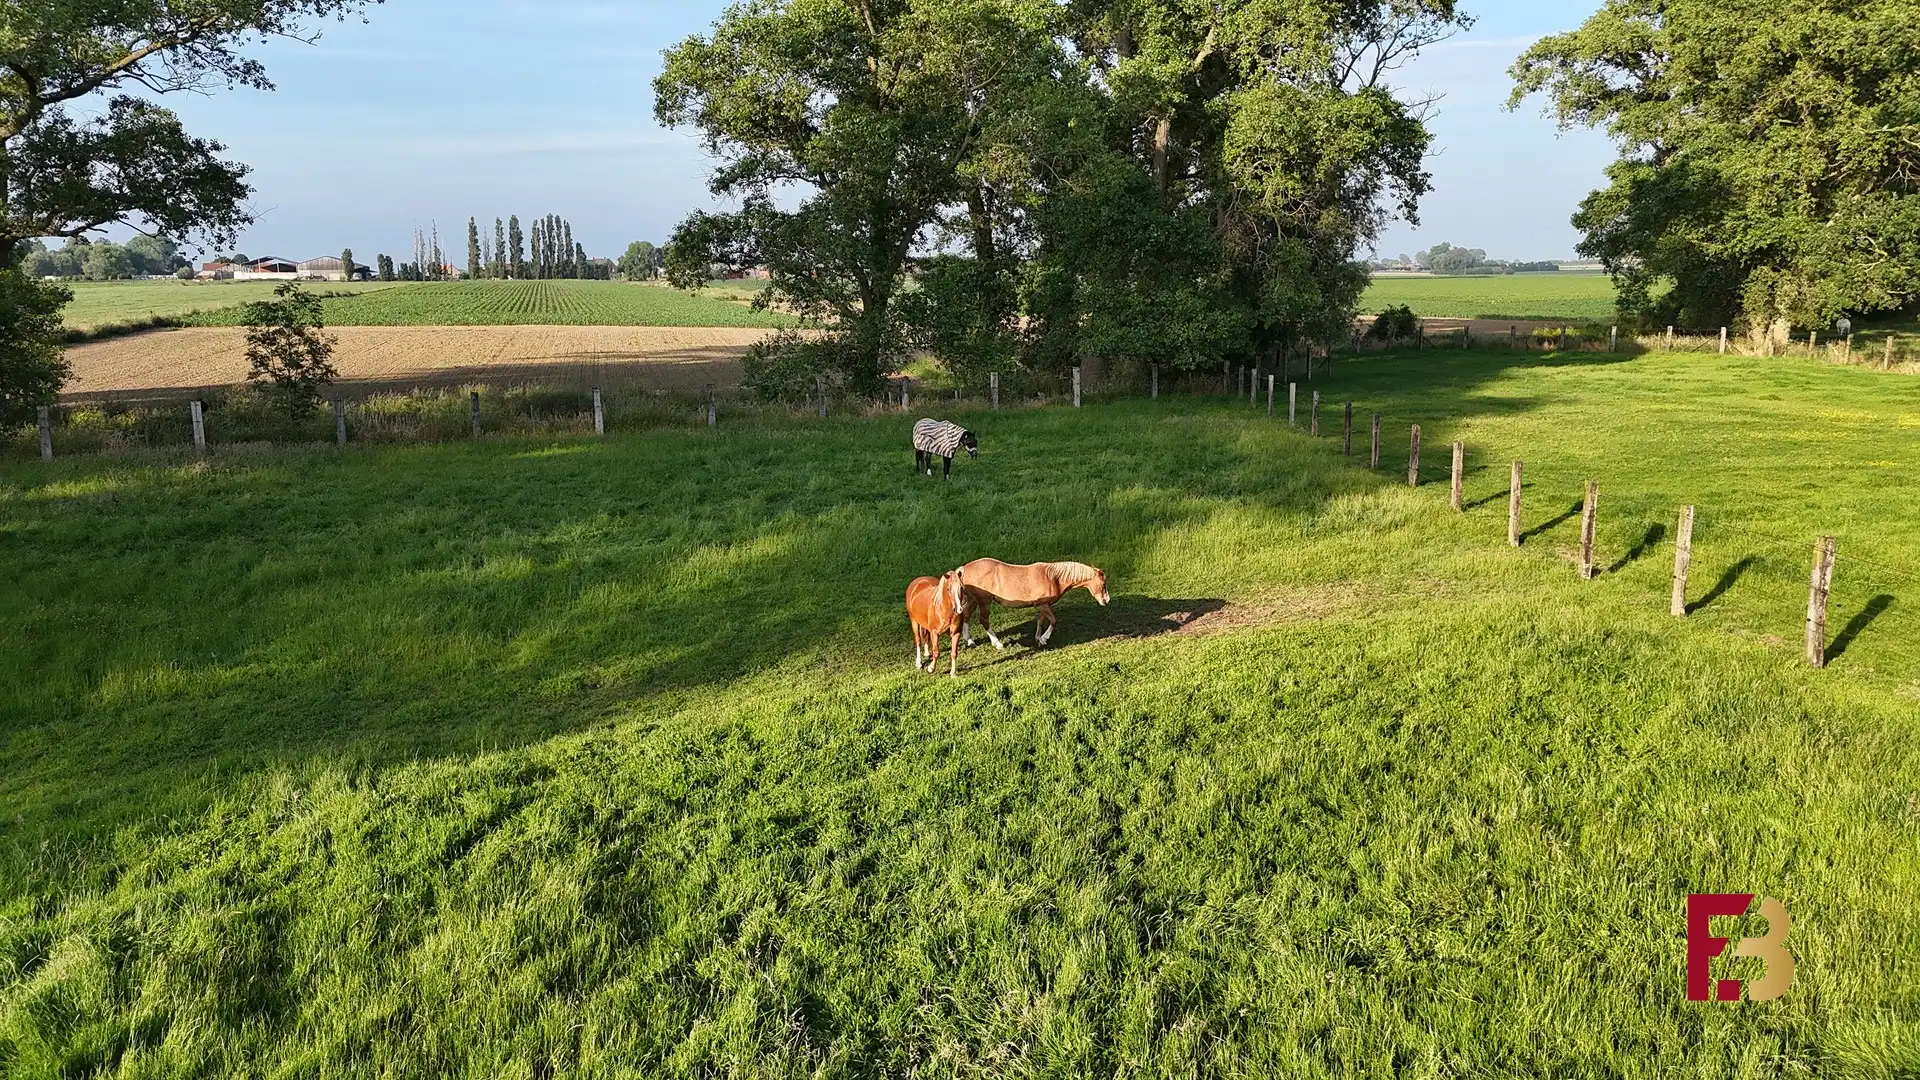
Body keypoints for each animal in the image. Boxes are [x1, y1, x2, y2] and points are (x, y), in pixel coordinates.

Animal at [955, 559, 1109, 648]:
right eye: (1103, 583)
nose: (1106, 601)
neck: (1053, 578)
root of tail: (964, 569)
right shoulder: (1042, 605)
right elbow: (1053, 621)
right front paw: (1044, 638)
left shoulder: (1042, 605)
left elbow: (1040, 621)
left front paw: (1039, 639)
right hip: (984, 602)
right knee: (984, 620)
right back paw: (997, 643)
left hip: (973, 600)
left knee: (966, 615)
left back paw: (970, 641)